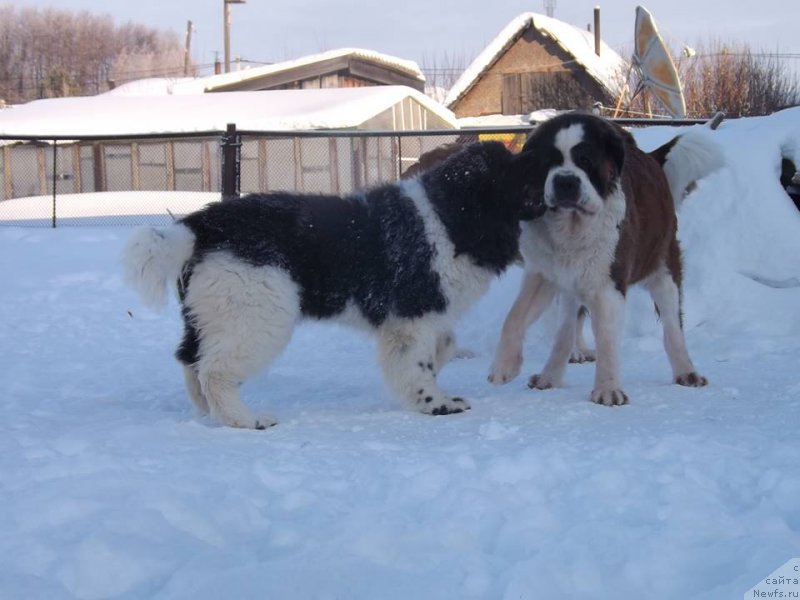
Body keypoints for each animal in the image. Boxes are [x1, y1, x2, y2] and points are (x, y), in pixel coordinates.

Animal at [122, 143, 540, 428]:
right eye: (512, 169)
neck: (448, 216)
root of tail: (201, 227)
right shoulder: (412, 316)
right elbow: (416, 362)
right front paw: (435, 403)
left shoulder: (424, 315)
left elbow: (443, 346)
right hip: (258, 312)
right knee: (215, 371)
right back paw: (246, 420)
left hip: (212, 312)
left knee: (190, 359)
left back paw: (208, 411)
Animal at [488, 113, 724, 404]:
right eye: (549, 161)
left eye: (585, 160)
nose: (565, 181)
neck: (572, 228)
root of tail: (650, 158)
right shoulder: (543, 275)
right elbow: (514, 317)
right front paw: (504, 366)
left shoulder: (609, 285)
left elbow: (608, 340)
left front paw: (608, 389)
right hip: (571, 287)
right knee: (565, 331)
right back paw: (549, 376)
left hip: (664, 268)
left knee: (672, 327)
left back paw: (686, 371)